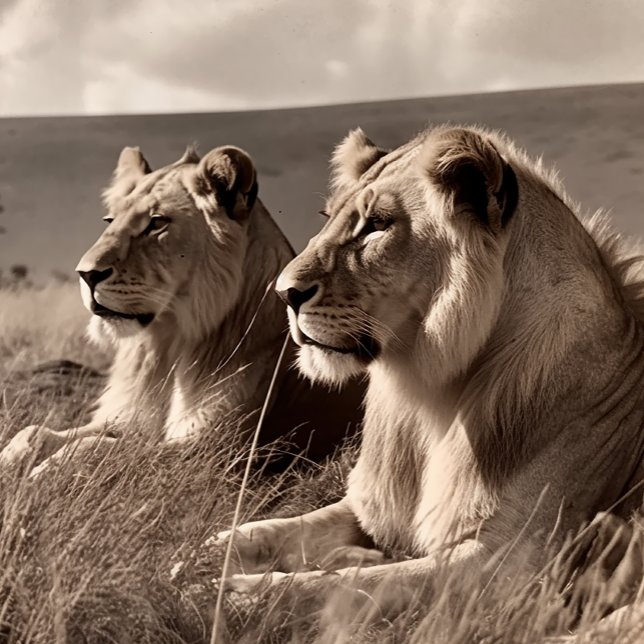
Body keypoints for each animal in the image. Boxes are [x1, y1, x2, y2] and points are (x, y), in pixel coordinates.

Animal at [0, 144, 364, 473]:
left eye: (156, 223)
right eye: (110, 220)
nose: (86, 274)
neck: (168, 344)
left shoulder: (218, 451)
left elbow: (99, 447)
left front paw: (43, 473)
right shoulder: (126, 419)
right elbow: (34, 433)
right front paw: (10, 463)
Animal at [220, 125, 644, 623]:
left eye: (377, 224)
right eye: (328, 217)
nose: (283, 293)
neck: (430, 396)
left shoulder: (510, 568)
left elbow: (350, 584)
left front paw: (234, 596)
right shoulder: (369, 510)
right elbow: (264, 531)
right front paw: (197, 561)